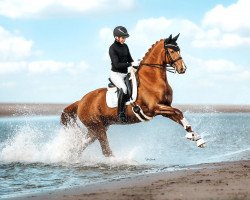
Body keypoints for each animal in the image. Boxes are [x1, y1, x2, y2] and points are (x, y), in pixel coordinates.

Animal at [60, 33, 205, 157]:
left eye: (179, 50)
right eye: (171, 51)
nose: (183, 69)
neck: (151, 79)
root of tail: (81, 101)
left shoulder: (164, 108)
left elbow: (179, 115)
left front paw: (196, 138)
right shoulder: (155, 108)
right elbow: (178, 111)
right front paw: (192, 136)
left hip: (96, 128)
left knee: (82, 145)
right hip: (98, 127)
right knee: (105, 150)